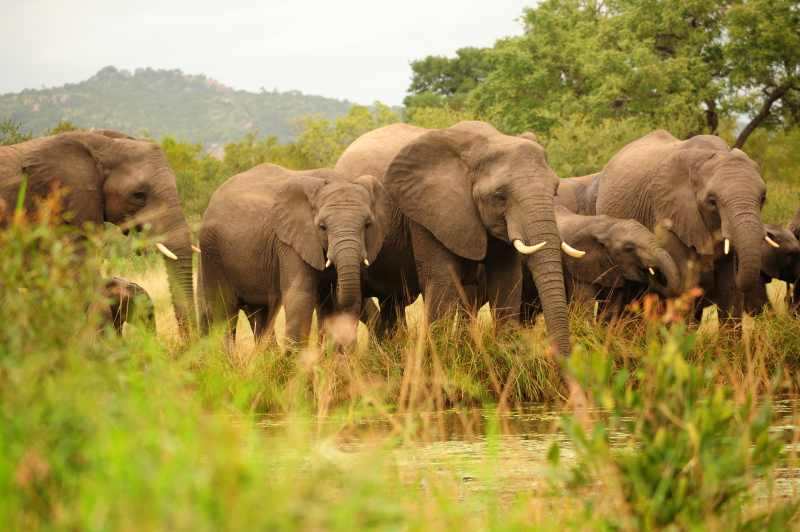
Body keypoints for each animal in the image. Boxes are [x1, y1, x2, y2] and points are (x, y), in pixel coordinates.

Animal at [198, 164, 389, 347]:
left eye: (367, 224)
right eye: (322, 227)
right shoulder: (289, 243)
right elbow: (300, 298)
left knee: (259, 312)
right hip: (212, 252)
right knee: (224, 312)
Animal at [336, 121, 582, 357]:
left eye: (555, 190)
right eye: (499, 196)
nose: (562, 360)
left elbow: (507, 280)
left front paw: (509, 356)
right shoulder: (427, 211)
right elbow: (442, 281)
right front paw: (440, 359)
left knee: (393, 301)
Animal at [521, 206, 681, 323]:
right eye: (629, 248)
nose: (653, 272)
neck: (606, 227)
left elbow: (612, 308)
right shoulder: (576, 267)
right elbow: (585, 305)